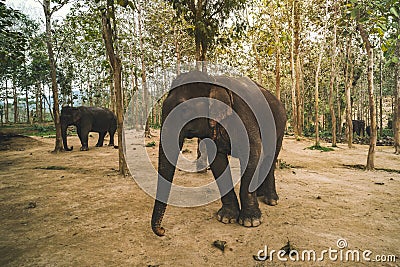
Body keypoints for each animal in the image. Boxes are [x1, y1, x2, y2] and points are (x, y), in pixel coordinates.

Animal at [151, 71, 288, 237]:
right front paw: (227, 218)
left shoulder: (246, 117)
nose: (162, 230)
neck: (213, 80)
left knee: (271, 157)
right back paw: (260, 194)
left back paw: (271, 200)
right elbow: (217, 162)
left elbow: (253, 155)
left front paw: (250, 221)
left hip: (280, 125)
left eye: (184, 110)